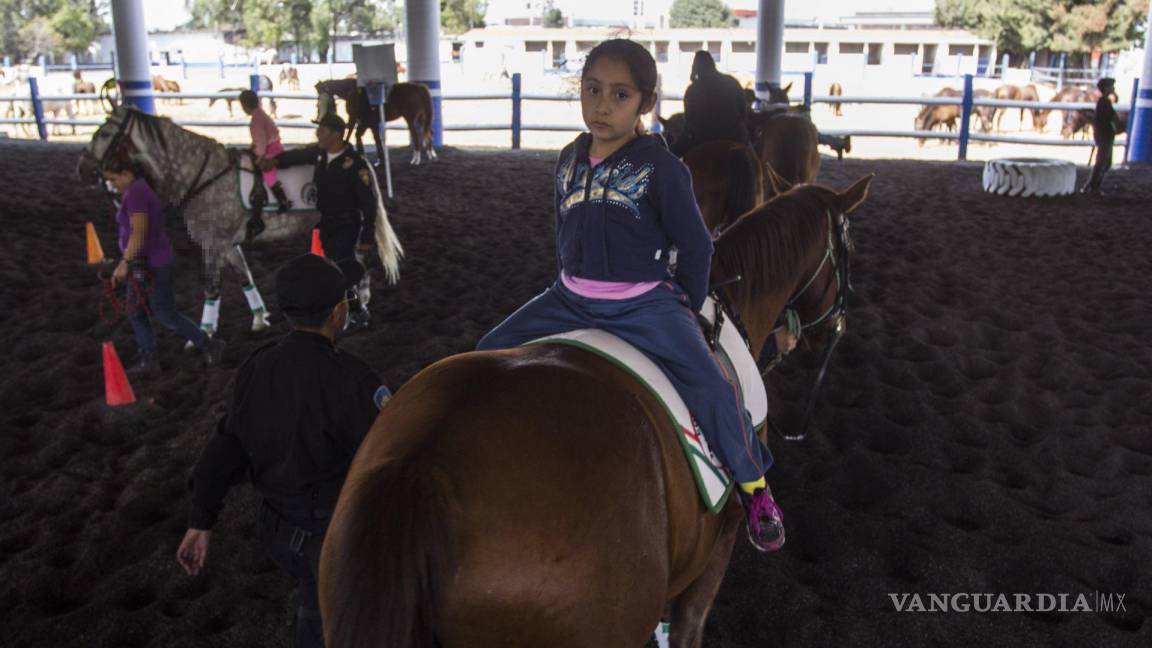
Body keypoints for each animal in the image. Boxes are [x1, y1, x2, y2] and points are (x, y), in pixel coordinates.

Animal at [74, 104, 403, 338]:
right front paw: (259, 318)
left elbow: (211, 287)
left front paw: (204, 334)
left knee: (355, 264)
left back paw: (358, 308)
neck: (204, 175)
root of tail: (361, 161)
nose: (83, 169)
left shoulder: (212, 243)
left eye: (104, 134)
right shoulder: (228, 244)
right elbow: (245, 277)